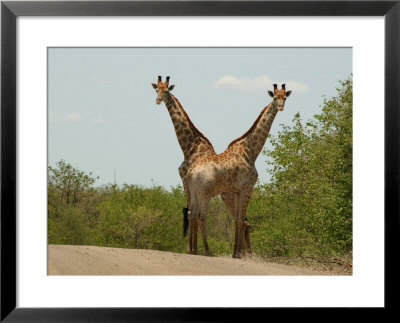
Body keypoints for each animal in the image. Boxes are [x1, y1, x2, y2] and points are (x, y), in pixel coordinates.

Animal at [151, 76, 253, 256]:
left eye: (166, 90)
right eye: (156, 89)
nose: (157, 100)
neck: (189, 147)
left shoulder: (186, 181)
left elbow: (191, 213)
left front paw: (192, 249)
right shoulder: (188, 182)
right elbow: (192, 213)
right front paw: (193, 249)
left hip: (230, 196)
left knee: (242, 221)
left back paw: (244, 253)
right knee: (243, 220)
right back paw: (245, 252)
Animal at [186, 85, 292, 260]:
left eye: (285, 97)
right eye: (275, 97)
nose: (281, 107)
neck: (251, 151)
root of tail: (190, 172)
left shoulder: (236, 191)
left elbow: (236, 219)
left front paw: (235, 253)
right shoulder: (247, 188)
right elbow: (242, 220)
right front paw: (239, 254)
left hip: (194, 192)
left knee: (193, 214)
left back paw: (193, 251)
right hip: (205, 193)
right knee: (201, 215)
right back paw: (206, 251)